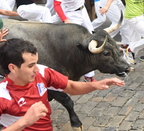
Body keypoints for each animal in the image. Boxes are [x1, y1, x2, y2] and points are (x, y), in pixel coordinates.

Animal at [0, 18, 129, 130]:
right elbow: (67, 101)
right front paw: (76, 123)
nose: (127, 67)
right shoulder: (51, 86)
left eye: (116, 46)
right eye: (106, 53)